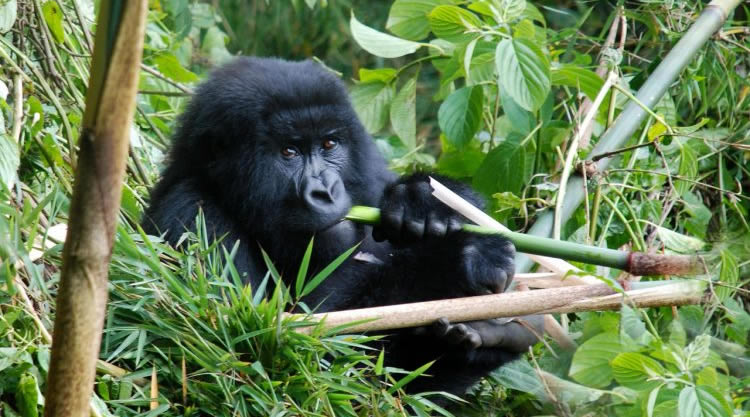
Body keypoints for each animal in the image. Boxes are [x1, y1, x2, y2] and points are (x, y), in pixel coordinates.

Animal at [144, 57, 544, 394]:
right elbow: (278, 359)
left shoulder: (369, 175)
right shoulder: (193, 217)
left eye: (329, 144)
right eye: (289, 152)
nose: (325, 191)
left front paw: (426, 199)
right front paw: (453, 260)